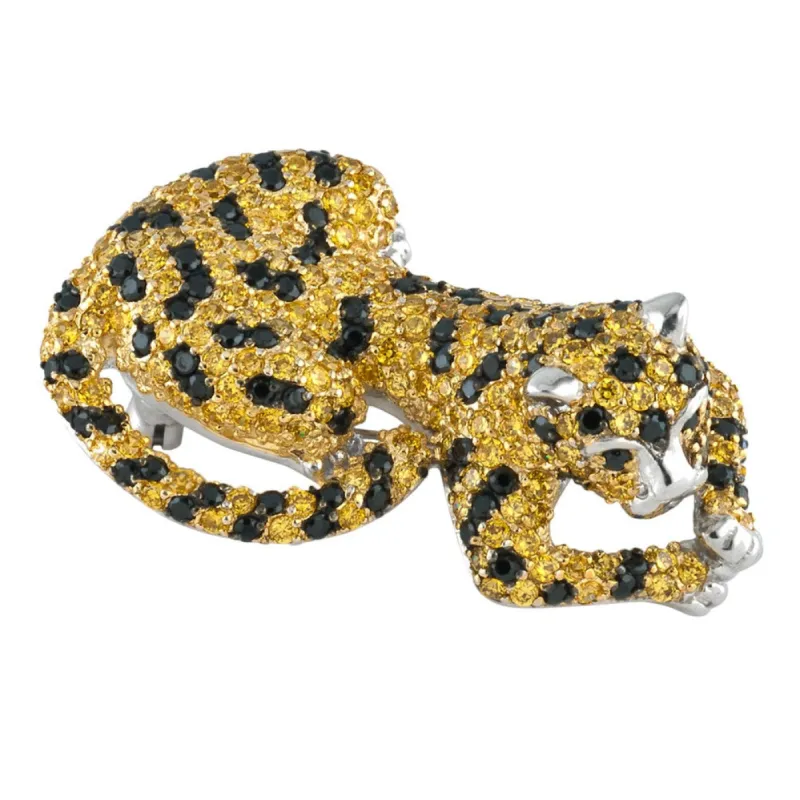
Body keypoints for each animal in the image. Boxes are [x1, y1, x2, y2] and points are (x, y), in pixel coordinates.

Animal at [41, 149, 761, 614]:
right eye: (614, 452)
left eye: (689, 419)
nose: (677, 490)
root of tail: (104, 258)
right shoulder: (502, 533)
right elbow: (540, 569)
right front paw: (694, 570)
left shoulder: (716, 376)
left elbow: (730, 420)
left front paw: (724, 524)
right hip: (296, 379)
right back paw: (335, 449)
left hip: (363, 180)